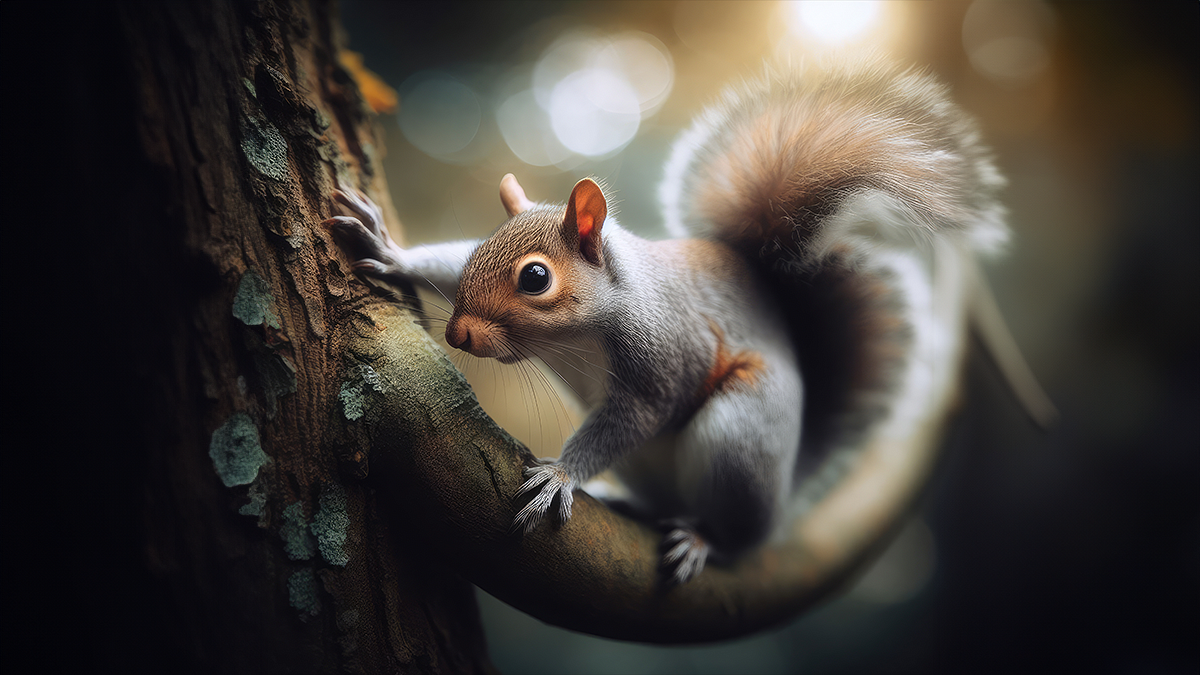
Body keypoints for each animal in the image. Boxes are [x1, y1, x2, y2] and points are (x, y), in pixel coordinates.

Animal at [325, 58, 1022, 585]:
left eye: (536, 279)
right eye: (474, 255)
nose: (458, 334)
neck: (589, 325)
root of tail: (782, 501)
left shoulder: (660, 357)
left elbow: (637, 412)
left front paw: (559, 476)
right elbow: (436, 264)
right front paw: (388, 251)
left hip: (739, 433)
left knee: (736, 531)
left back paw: (707, 540)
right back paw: (626, 500)